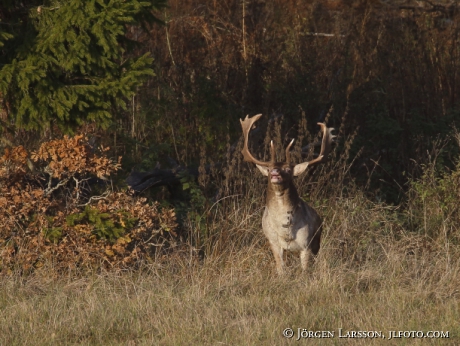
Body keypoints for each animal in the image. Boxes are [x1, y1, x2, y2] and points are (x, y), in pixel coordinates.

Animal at [241, 115, 334, 274]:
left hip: (317, 241)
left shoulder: (306, 243)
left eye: (288, 169)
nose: (274, 172)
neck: (285, 230)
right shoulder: (273, 241)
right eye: (269, 168)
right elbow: (281, 270)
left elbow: (305, 271)